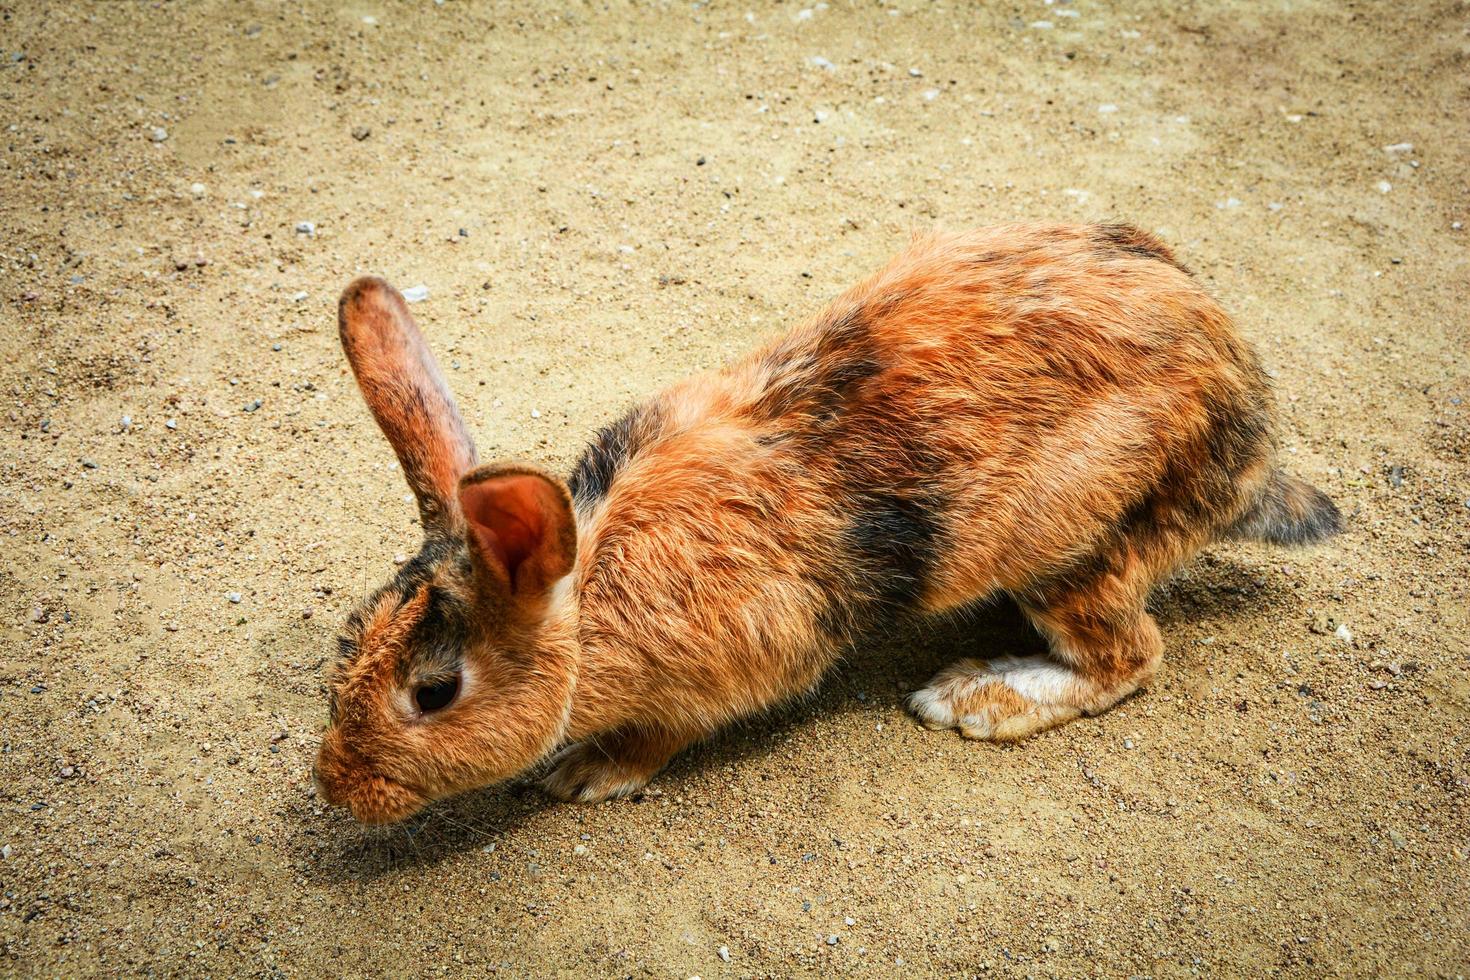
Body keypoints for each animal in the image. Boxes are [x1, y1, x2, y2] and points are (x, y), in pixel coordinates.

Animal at [313, 226, 1346, 822]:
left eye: (433, 693)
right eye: (347, 645)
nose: (335, 787)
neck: (587, 597)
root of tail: (1253, 441)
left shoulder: (726, 676)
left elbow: (661, 737)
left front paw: (584, 775)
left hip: (1075, 547)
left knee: (1132, 656)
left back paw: (976, 696)